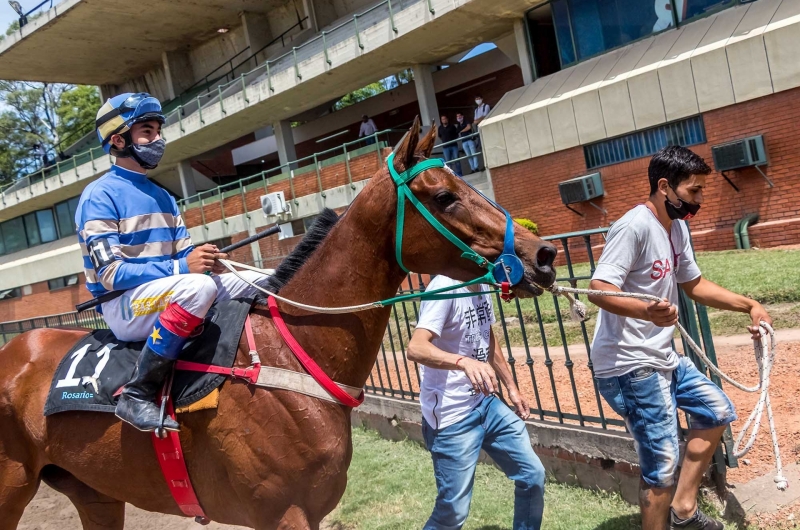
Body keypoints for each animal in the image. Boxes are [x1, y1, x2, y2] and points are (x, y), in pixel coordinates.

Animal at [0, 117, 560, 524]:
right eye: (444, 196)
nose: (544, 255)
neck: (291, 354)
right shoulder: (283, 514)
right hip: (13, 487)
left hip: (96, 493)